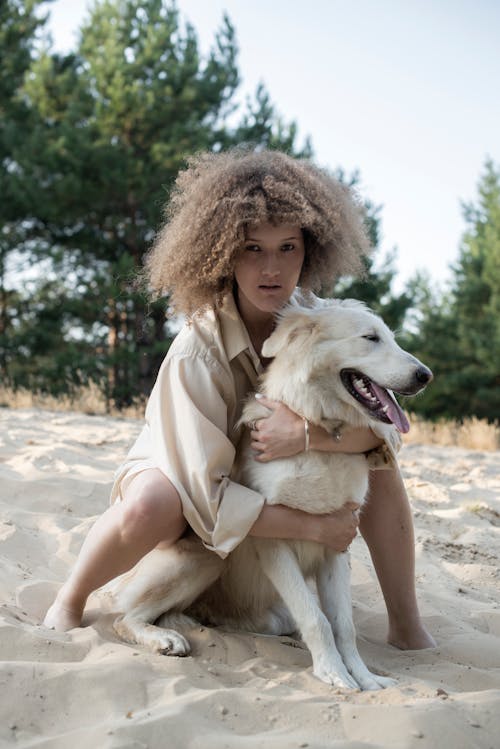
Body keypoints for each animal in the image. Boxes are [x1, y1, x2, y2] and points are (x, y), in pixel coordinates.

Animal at [99, 298, 432, 688]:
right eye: (370, 338)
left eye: (392, 338)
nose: (426, 375)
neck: (317, 430)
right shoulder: (274, 541)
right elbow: (318, 619)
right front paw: (334, 674)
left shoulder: (337, 542)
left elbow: (343, 624)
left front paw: (363, 677)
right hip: (205, 557)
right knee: (123, 616)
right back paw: (164, 638)